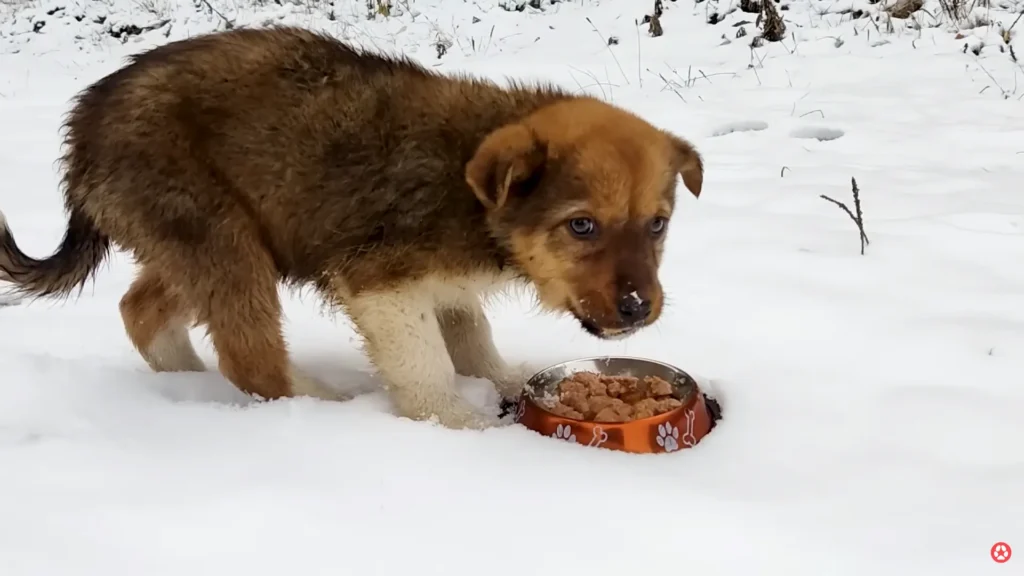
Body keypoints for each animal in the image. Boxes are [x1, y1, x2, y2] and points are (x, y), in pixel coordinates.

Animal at [0, 26, 704, 428]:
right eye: (581, 225)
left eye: (658, 225)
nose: (639, 309)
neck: (473, 195)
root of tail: (82, 133)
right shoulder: (382, 283)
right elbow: (427, 368)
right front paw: (463, 425)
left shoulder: (442, 285)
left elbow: (471, 338)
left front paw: (506, 384)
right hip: (220, 238)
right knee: (251, 360)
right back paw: (329, 410)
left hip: (209, 242)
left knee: (141, 308)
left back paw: (185, 383)